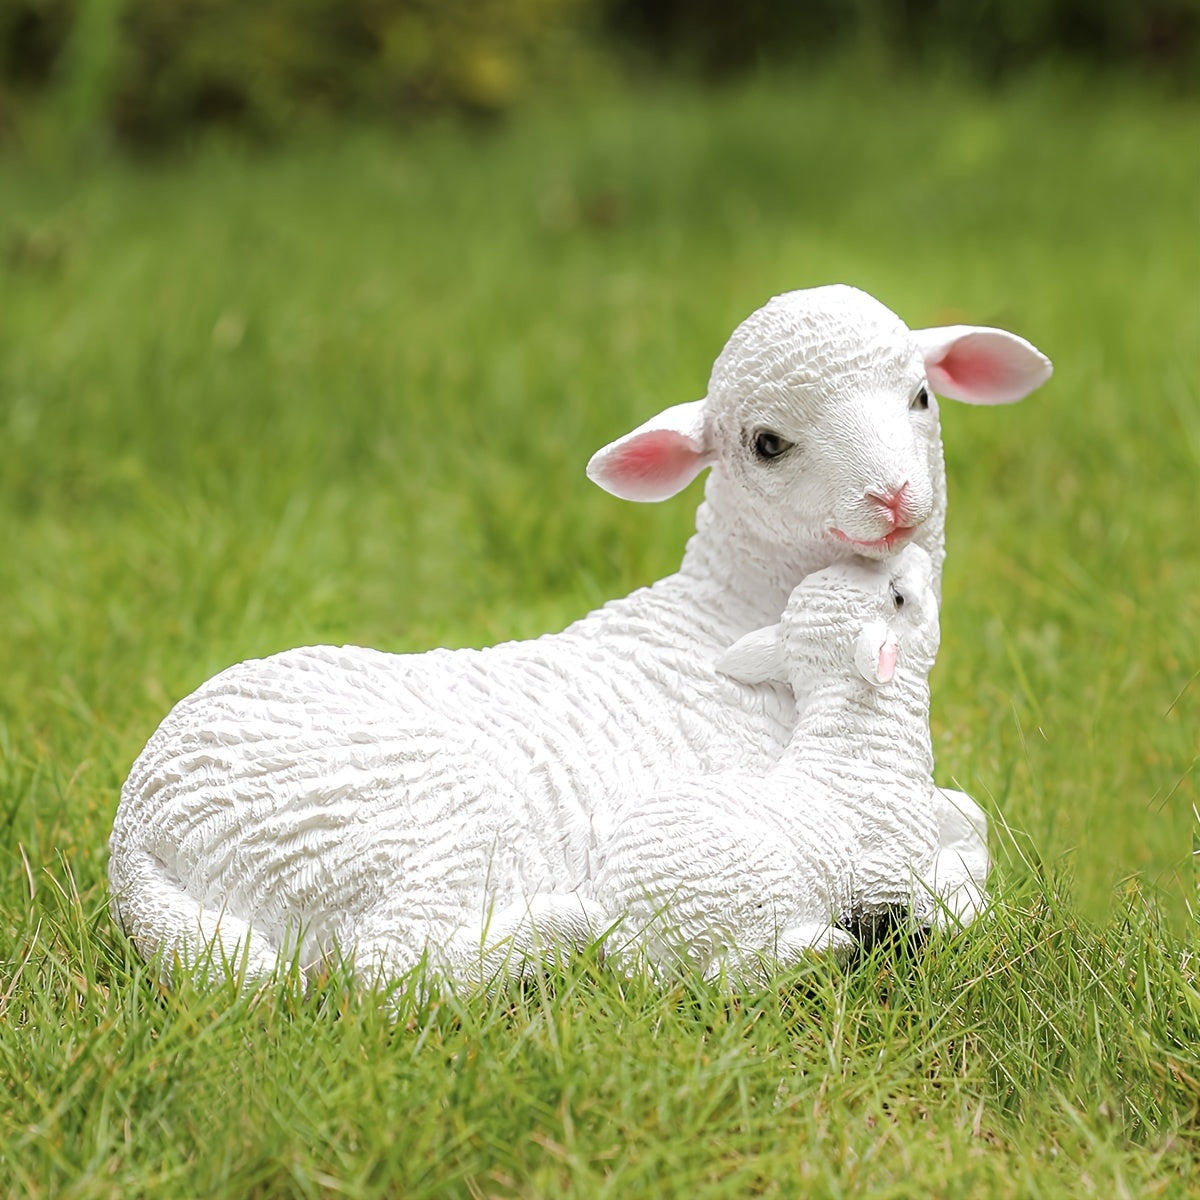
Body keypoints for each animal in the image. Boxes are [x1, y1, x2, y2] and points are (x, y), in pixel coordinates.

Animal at [590, 543, 953, 979]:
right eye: (898, 598)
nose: (915, 549)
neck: (856, 749)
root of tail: (635, 941)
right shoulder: (887, 879)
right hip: (750, 890)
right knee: (732, 973)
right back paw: (823, 945)